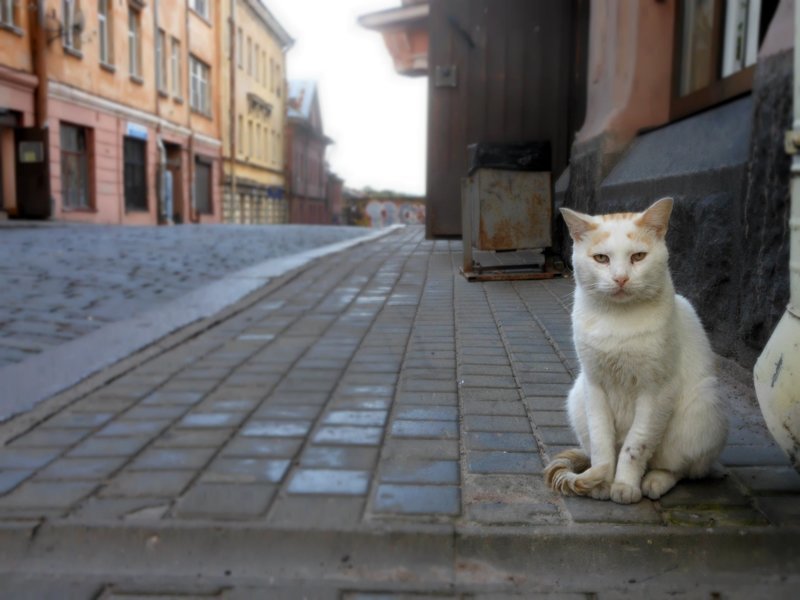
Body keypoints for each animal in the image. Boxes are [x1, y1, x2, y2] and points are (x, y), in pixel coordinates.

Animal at [548, 199, 728, 504]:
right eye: (601, 258)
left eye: (638, 257)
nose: (620, 278)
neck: (618, 321)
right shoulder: (594, 385)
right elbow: (602, 443)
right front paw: (602, 482)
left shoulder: (655, 391)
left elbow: (635, 445)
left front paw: (624, 485)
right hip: (576, 397)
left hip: (700, 409)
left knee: (680, 468)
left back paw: (654, 481)